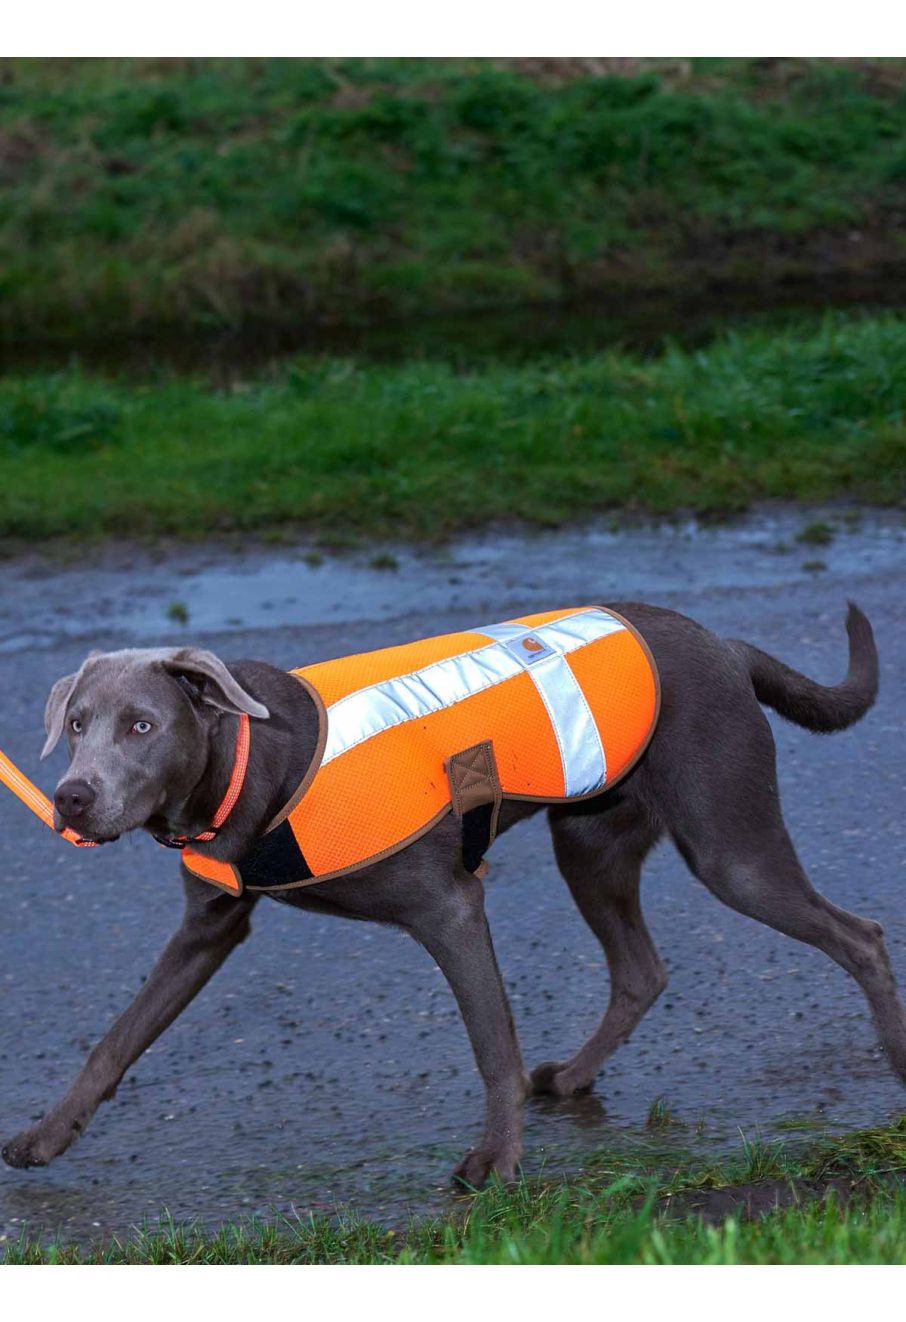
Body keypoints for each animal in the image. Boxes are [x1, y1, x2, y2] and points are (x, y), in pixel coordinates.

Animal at [1, 602, 899, 1189]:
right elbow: (117, 1039)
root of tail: (727, 646)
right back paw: (574, 1076)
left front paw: (496, 1161)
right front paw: (47, 1135)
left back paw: (894, 1053)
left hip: (728, 845)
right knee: (641, 971)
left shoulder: (450, 909)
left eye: (142, 726)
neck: (254, 763)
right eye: (76, 723)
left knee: (859, 935)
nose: (71, 799)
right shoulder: (208, 928)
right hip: (591, 844)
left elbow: (491, 1045)